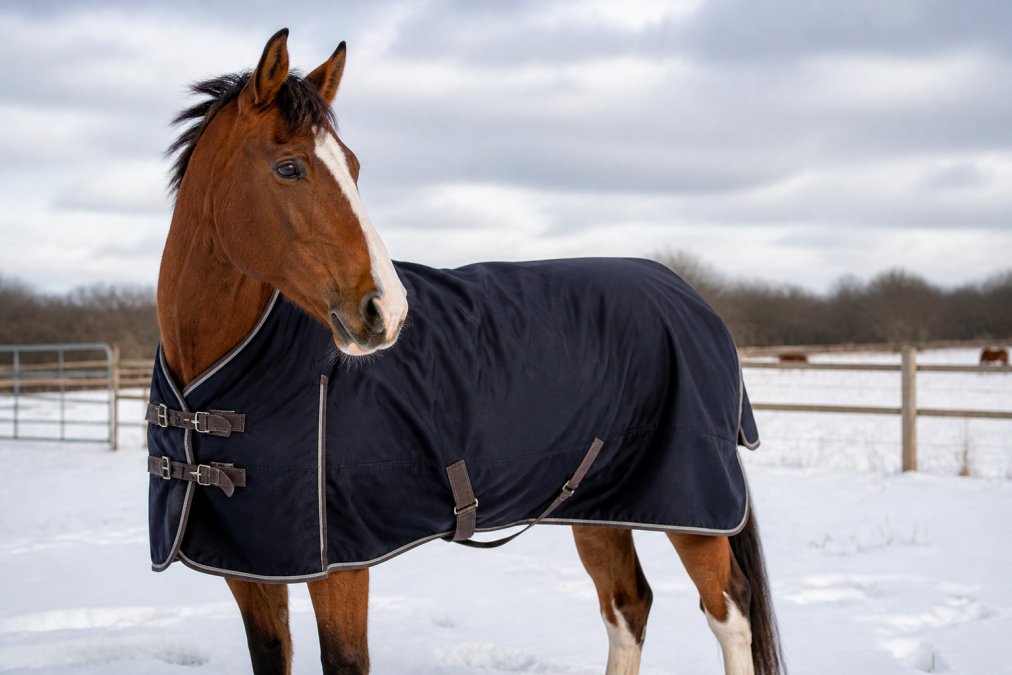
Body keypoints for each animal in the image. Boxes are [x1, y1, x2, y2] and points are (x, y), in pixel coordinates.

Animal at [152, 29, 785, 675]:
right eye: (289, 167)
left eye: (353, 167)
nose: (387, 311)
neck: (227, 375)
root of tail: (690, 297)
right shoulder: (250, 566)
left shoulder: (341, 568)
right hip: (600, 504)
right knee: (627, 605)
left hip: (695, 509)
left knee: (728, 613)